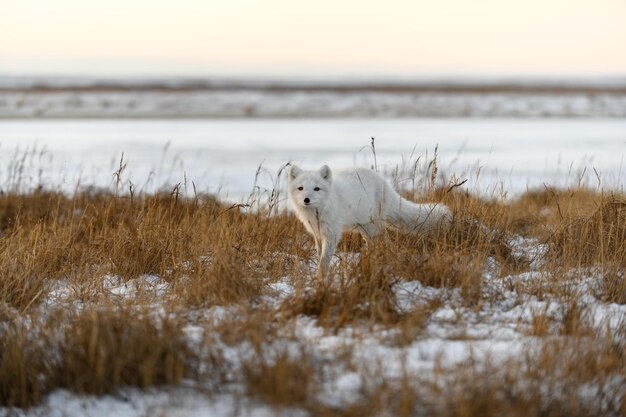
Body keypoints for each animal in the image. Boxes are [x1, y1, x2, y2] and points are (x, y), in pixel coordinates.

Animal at [286, 164, 450, 274]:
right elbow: (320, 253)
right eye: (300, 188)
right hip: (365, 229)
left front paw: (321, 278)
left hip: (372, 228)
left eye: (316, 189)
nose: (306, 200)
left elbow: (324, 259)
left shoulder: (332, 233)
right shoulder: (318, 233)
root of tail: (384, 183)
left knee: (386, 243)